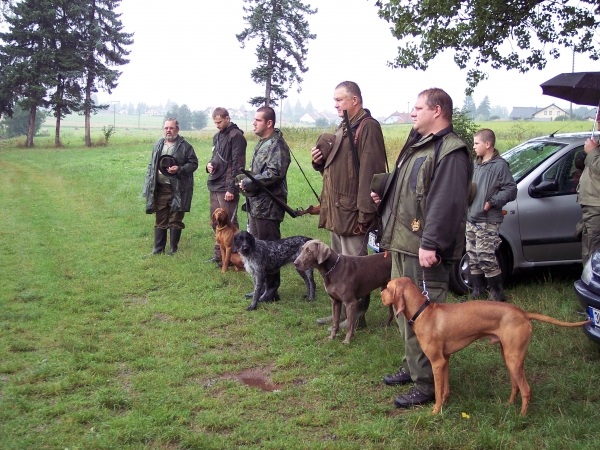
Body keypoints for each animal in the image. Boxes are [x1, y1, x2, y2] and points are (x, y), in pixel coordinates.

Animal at [381, 277, 591, 415]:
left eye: (388, 287)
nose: (380, 293)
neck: (423, 312)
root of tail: (522, 313)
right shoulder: (445, 359)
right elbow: (445, 389)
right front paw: (445, 405)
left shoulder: (437, 362)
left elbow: (438, 392)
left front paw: (435, 411)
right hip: (509, 357)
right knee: (515, 385)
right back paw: (508, 405)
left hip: (513, 359)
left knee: (526, 389)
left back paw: (522, 417)